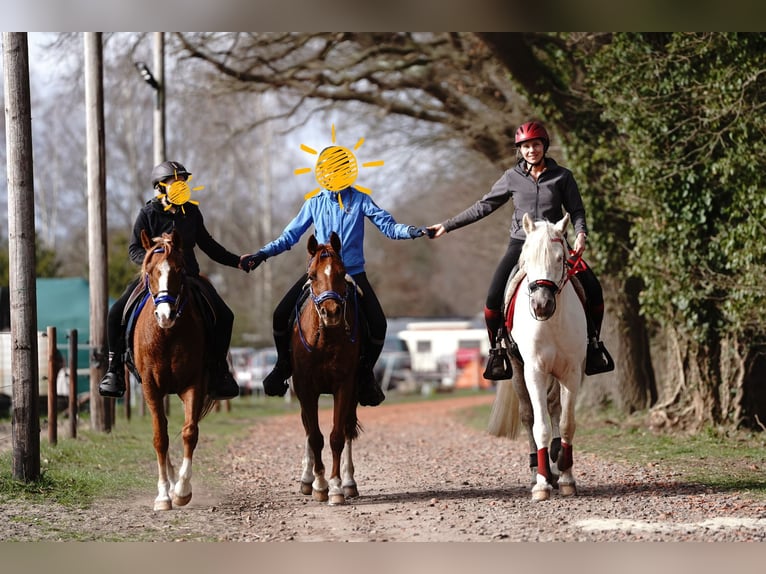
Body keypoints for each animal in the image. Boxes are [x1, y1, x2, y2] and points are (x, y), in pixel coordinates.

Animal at [134, 230, 218, 512]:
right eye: (150, 271)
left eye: (179, 271)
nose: (165, 315)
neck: (167, 336)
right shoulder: (150, 387)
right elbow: (160, 437)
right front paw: (163, 495)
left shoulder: (193, 384)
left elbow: (189, 432)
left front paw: (181, 490)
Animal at [294, 232, 366, 506]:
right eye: (312, 275)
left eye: (341, 272)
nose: (332, 312)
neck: (326, 339)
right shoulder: (305, 389)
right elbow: (314, 436)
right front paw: (319, 484)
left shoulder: (344, 386)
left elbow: (336, 436)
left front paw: (335, 486)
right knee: (307, 428)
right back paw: (307, 479)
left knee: (346, 430)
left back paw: (348, 482)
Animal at [488, 214, 592, 502]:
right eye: (528, 259)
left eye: (560, 258)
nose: (541, 305)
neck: (552, 321)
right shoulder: (534, 371)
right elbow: (540, 425)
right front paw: (542, 485)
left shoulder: (571, 372)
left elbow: (566, 424)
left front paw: (566, 477)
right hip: (517, 369)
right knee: (528, 415)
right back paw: (537, 468)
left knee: (554, 408)